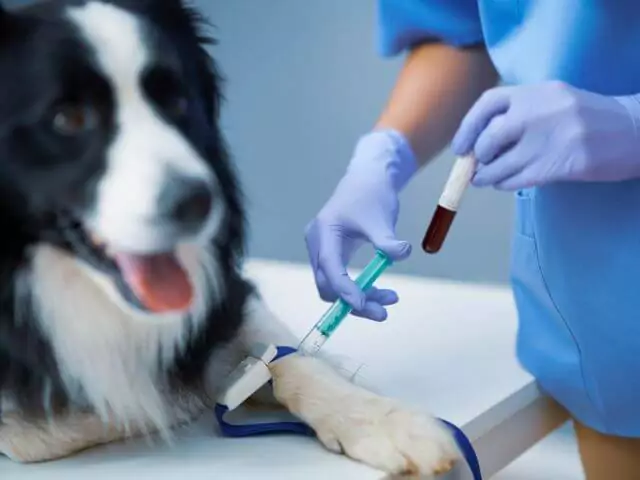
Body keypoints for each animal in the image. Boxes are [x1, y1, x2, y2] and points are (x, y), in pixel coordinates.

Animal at [0, 0, 460, 476]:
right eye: (68, 119)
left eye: (177, 102)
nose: (199, 201)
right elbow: (37, 431)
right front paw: (182, 395)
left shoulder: (228, 296)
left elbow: (287, 355)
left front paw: (384, 419)